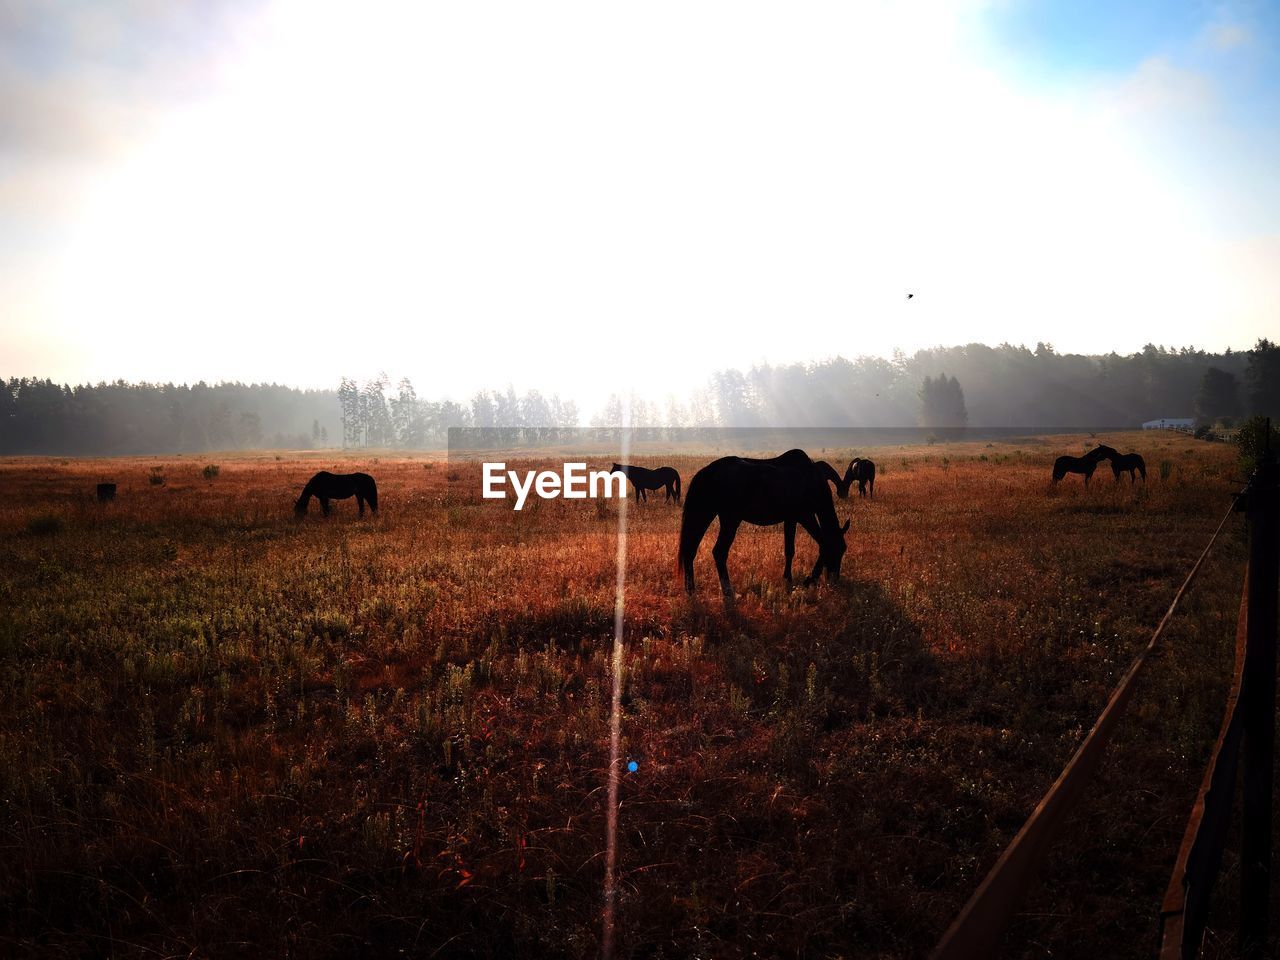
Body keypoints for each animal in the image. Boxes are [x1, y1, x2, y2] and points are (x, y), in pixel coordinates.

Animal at [680, 450, 849, 601]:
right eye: (839, 550)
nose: (834, 580)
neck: (809, 478)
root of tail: (708, 471)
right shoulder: (804, 516)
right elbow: (824, 544)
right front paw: (809, 580)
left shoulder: (791, 519)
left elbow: (790, 550)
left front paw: (788, 579)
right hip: (729, 520)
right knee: (718, 552)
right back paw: (728, 591)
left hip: (707, 514)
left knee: (691, 550)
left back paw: (691, 590)